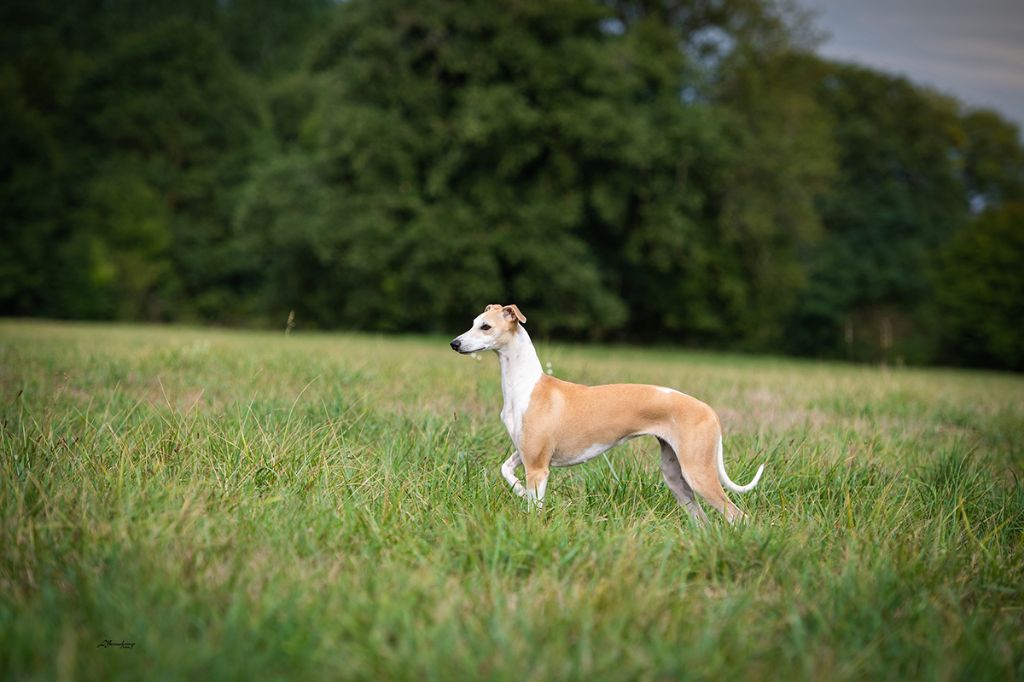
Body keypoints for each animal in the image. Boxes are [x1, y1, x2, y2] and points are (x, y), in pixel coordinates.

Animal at [452, 303, 765, 520]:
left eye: (486, 327)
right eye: (473, 323)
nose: (455, 343)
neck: (527, 384)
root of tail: (709, 410)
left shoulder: (538, 467)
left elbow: (535, 506)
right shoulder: (525, 454)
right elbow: (505, 469)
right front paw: (518, 490)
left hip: (698, 473)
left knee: (737, 516)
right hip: (676, 476)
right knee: (702, 519)